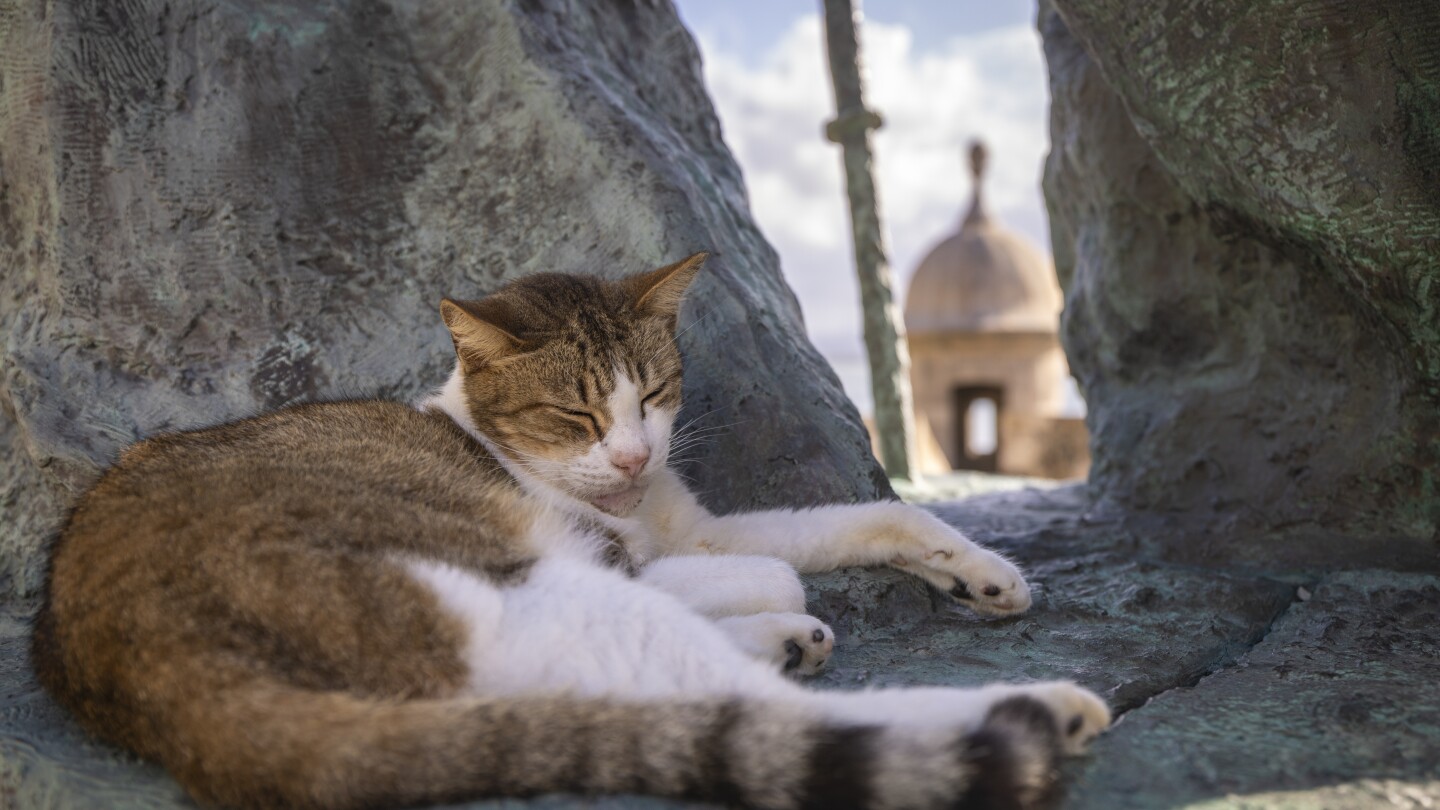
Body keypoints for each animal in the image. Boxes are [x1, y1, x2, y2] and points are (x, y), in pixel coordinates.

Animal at [30, 252, 1111, 807]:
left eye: (657, 394)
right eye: (577, 414)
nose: (632, 456)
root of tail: (149, 679)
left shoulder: (691, 526)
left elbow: (867, 514)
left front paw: (978, 569)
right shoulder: (627, 557)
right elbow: (780, 569)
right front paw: (780, 608)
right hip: (506, 591)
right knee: (763, 716)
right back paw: (1038, 708)